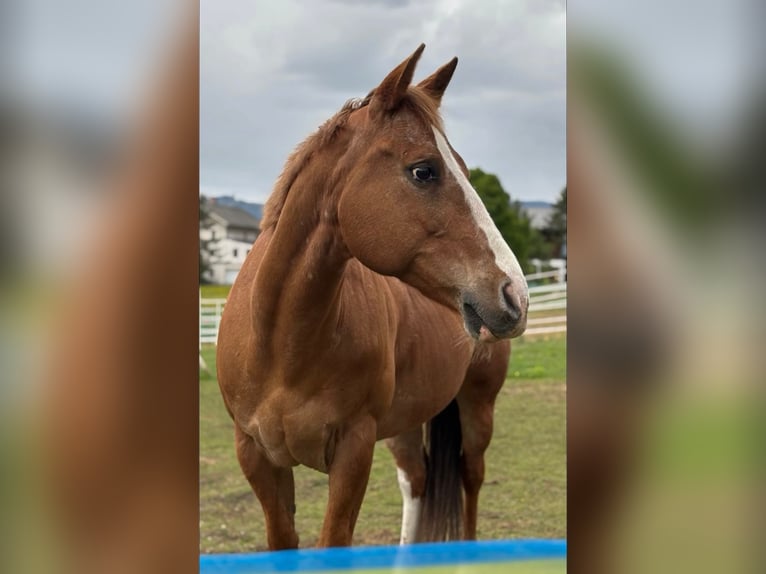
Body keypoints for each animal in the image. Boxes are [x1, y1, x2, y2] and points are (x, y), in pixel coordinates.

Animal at [216, 44, 528, 550]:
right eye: (424, 170)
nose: (515, 293)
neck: (280, 344)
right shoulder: (257, 456)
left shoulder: (353, 451)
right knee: (417, 480)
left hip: (477, 409)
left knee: (471, 479)